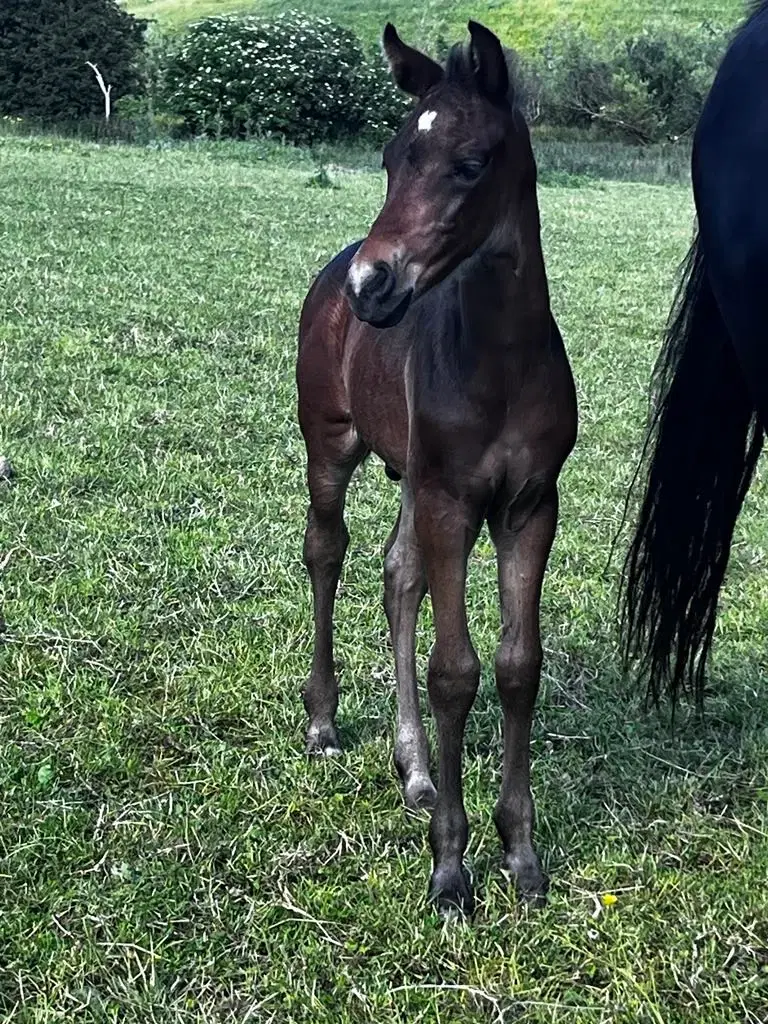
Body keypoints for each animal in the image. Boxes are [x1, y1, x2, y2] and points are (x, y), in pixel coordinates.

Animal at [294, 19, 577, 913]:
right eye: (391, 158)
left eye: (472, 162)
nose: (372, 285)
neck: (503, 362)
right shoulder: (452, 499)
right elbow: (456, 671)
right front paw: (451, 868)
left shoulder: (529, 505)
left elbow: (519, 666)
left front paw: (521, 854)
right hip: (332, 443)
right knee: (327, 552)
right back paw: (323, 721)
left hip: (410, 478)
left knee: (397, 575)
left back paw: (414, 769)